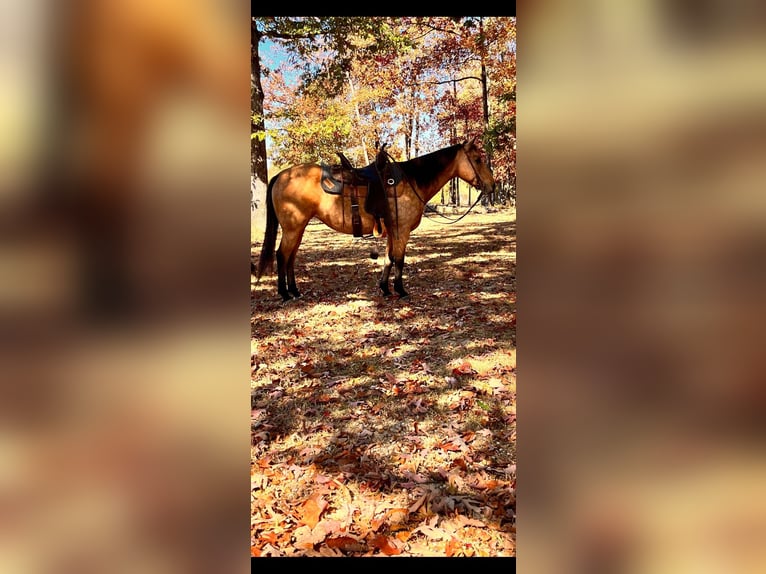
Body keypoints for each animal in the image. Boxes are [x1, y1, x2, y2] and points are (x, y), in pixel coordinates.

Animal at [256, 141, 498, 302]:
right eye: (478, 159)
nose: (493, 185)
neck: (412, 181)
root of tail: (281, 175)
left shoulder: (392, 231)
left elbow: (388, 259)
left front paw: (385, 288)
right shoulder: (402, 230)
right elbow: (399, 260)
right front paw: (400, 290)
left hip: (298, 228)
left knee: (291, 258)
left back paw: (295, 291)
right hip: (292, 228)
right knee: (282, 255)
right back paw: (285, 293)